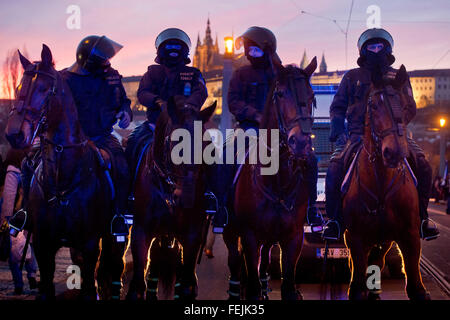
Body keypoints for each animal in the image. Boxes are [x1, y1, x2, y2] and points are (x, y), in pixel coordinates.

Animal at [4, 45, 126, 300]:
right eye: (19, 87)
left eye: (44, 88)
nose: (14, 134)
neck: (63, 178)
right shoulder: (43, 244)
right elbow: (46, 287)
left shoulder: (89, 243)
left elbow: (90, 286)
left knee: (115, 264)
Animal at [126, 95, 216, 300]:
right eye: (176, 142)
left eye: (205, 144)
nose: (187, 198)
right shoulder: (141, 232)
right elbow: (138, 284)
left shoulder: (191, 235)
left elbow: (187, 284)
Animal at [224, 59, 316, 300]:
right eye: (281, 94)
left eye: (312, 96)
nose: (300, 142)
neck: (277, 181)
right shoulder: (249, 236)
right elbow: (252, 285)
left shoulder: (293, 237)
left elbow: (288, 285)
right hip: (230, 230)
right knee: (235, 261)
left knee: (263, 261)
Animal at [342, 66, 430, 302]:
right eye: (373, 105)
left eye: (406, 104)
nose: (394, 152)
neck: (380, 182)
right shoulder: (356, 238)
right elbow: (357, 286)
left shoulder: (410, 236)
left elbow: (416, 287)